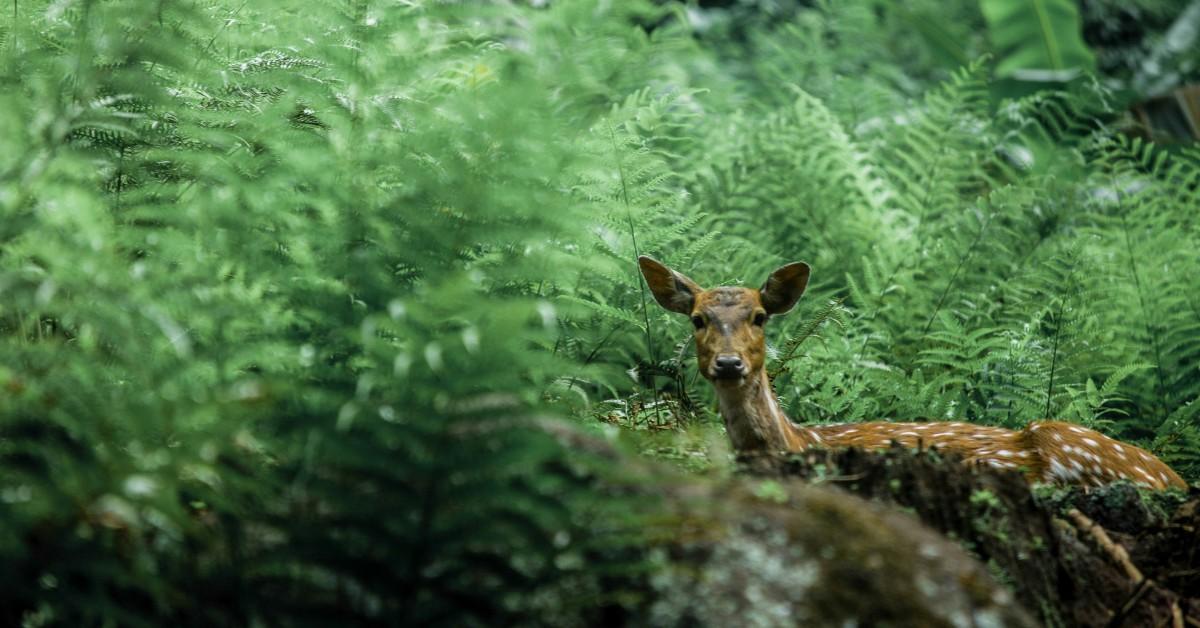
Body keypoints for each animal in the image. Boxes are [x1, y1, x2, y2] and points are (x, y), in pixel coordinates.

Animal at [643, 255, 1185, 492]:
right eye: (698, 319)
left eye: (759, 316)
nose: (728, 363)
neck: (799, 441)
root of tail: (1174, 478)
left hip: (1071, 444)